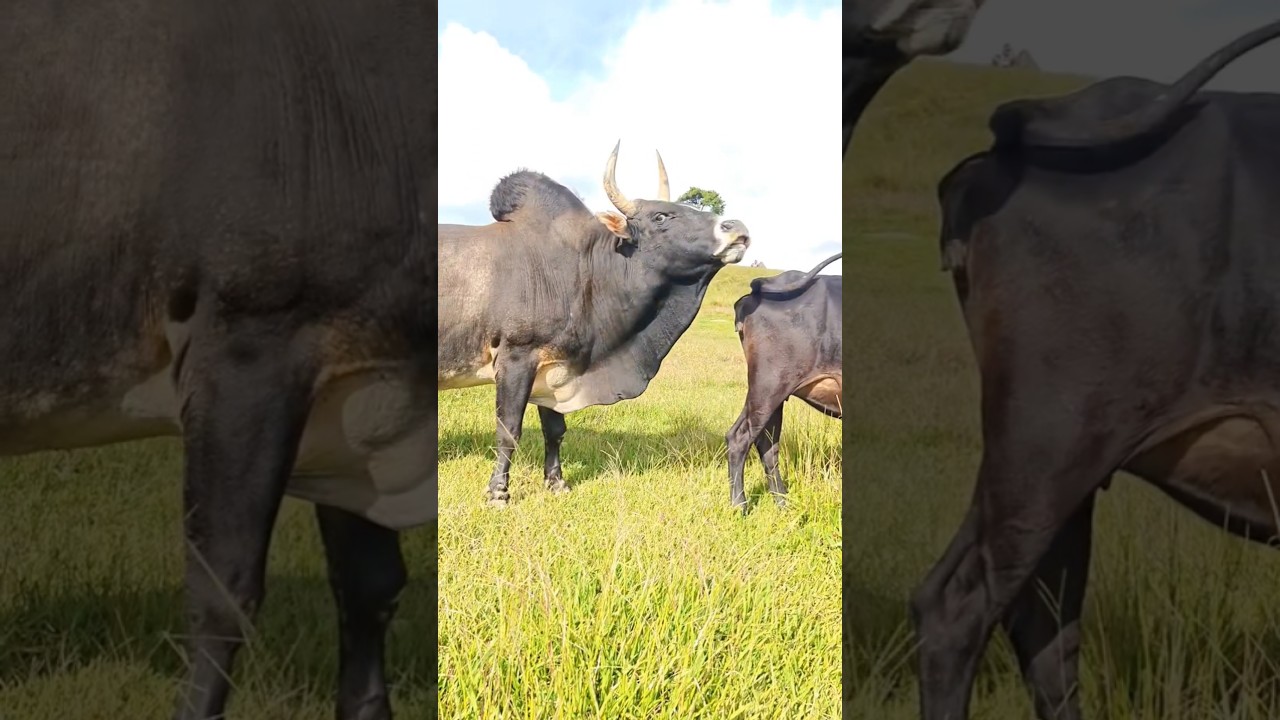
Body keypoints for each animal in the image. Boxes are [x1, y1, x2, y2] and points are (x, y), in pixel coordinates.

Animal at [438, 142, 752, 507]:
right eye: (661, 216)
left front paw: (557, 483)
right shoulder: (516, 358)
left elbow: (555, 431)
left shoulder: (555, 368)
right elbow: (509, 430)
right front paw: (498, 493)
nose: (737, 227)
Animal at [726, 252, 842, 511]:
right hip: (770, 386)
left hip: (766, 393)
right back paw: (740, 506)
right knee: (740, 439)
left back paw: (782, 502)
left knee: (766, 444)